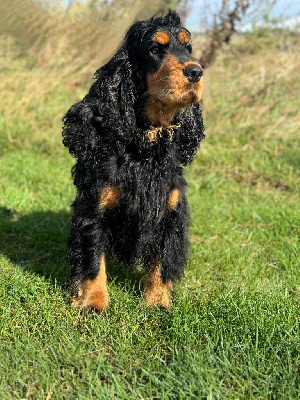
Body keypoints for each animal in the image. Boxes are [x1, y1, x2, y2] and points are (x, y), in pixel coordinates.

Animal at [62, 7, 205, 310]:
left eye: (188, 47)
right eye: (155, 49)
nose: (196, 71)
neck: (145, 148)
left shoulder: (170, 212)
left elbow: (162, 261)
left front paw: (158, 301)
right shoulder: (94, 209)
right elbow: (93, 258)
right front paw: (94, 302)